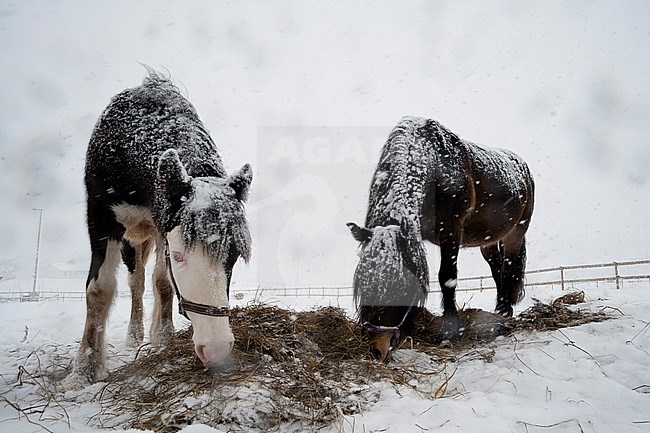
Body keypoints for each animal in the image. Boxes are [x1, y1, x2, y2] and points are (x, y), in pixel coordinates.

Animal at [70, 72, 251, 384]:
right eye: (178, 256)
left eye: (234, 257)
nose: (216, 348)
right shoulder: (102, 220)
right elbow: (99, 290)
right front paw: (86, 368)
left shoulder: (161, 227)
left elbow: (163, 282)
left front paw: (163, 338)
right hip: (131, 240)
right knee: (135, 281)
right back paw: (133, 335)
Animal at [346, 116, 536, 360]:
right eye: (362, 286)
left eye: (401, 287)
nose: (377, 349)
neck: (435, 167)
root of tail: (522, 166)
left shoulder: (451, 230)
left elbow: (447, 277)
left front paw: (450, 331)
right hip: (488, 241)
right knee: (497, 267)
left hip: (516, 232)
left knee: (509, 267)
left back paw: (504, 312)